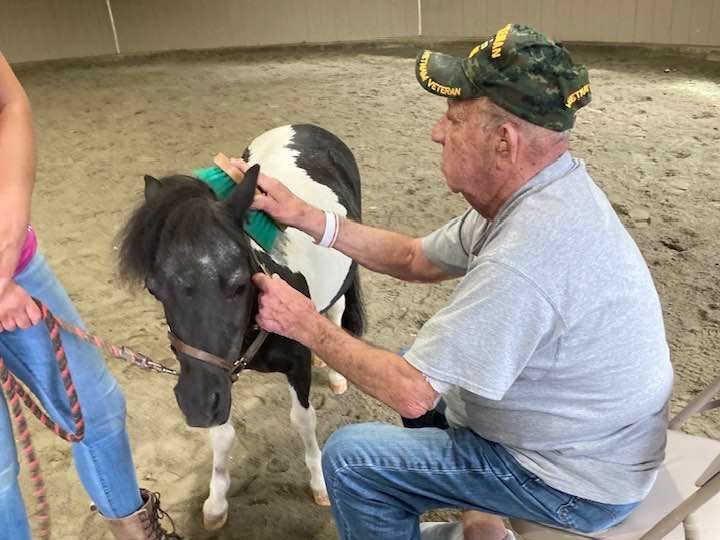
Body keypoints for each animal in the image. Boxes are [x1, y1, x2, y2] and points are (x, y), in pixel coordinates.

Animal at [121, 125, 366, 528]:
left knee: (336, 312)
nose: (194, 404)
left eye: (238, 284)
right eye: (155, 288)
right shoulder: (218, 376)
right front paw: (216, 502)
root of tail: (302, 126)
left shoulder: (296, 365)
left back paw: (335, 374)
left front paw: (319, 483)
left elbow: (304, 421)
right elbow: (222, 436)